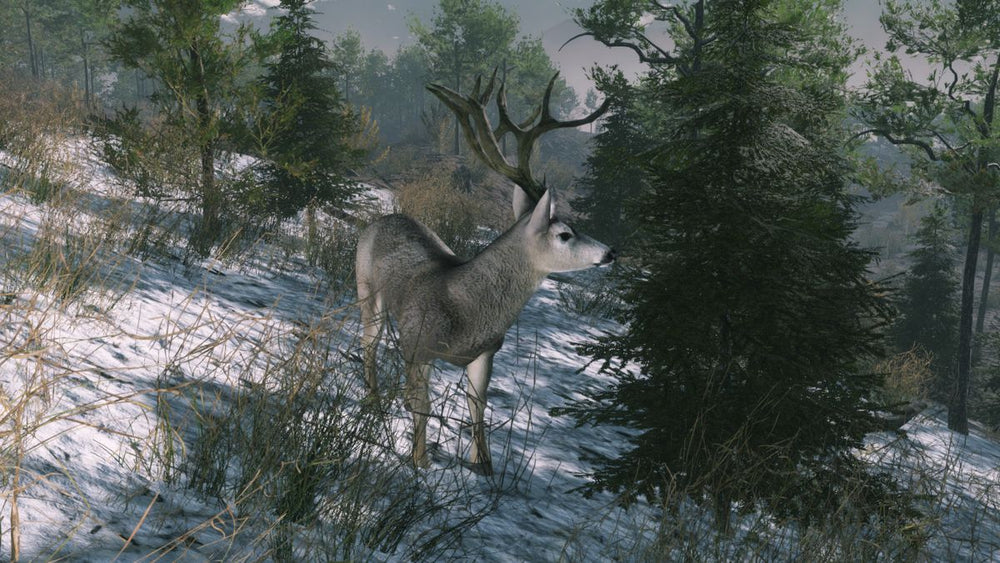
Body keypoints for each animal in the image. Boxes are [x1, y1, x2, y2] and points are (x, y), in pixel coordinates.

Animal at [355, 70, 614, 475]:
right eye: (565, 234)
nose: (610, 252)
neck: (468, 310)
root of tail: (384, 218)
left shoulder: (486, 353)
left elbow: (478, 406)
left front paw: (485, 466)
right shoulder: (418, 343)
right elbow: (423, 405)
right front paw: (420, 462)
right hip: (367, 291)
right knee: (369, 344)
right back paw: (374, 401)